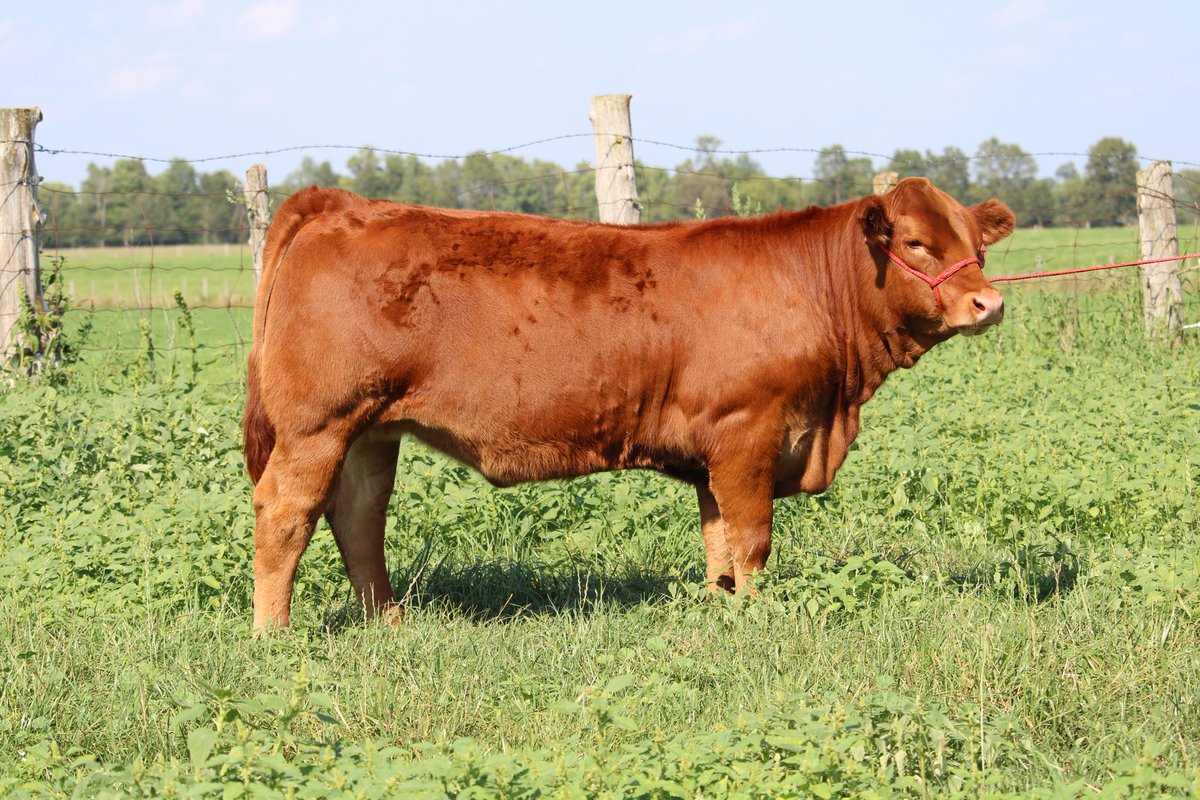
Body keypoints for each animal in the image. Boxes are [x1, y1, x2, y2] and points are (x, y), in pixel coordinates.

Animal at [243, 177, 1014, 632]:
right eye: (915, 242)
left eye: (978, 245)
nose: (989, 302)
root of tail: (341, 201)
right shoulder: (749, 431)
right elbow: (753, 538)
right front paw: (757, 619)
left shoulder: (714, 450)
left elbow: (718, 540)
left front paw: (720, 610)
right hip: (319, 424)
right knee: (286, 515)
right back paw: (275, 635)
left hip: (373, 430)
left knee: (358, 518)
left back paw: (389, 622)